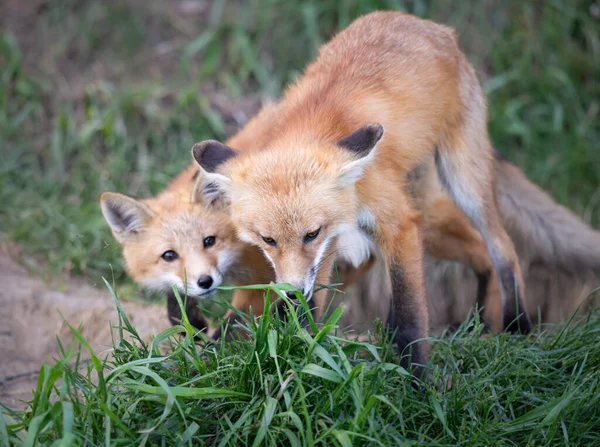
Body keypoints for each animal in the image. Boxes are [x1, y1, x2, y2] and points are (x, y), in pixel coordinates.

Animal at [192, 11, 536, 374]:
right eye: (267, 240)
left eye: (310, 234)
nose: (293, 291)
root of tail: (427, 24)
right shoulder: (329, 244)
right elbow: (309, 308)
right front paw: (295, 353)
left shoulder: (396, 224)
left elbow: (411, 317)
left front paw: (418, 378)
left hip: (462, 179)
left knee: (503, 248)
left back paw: (517, 328)